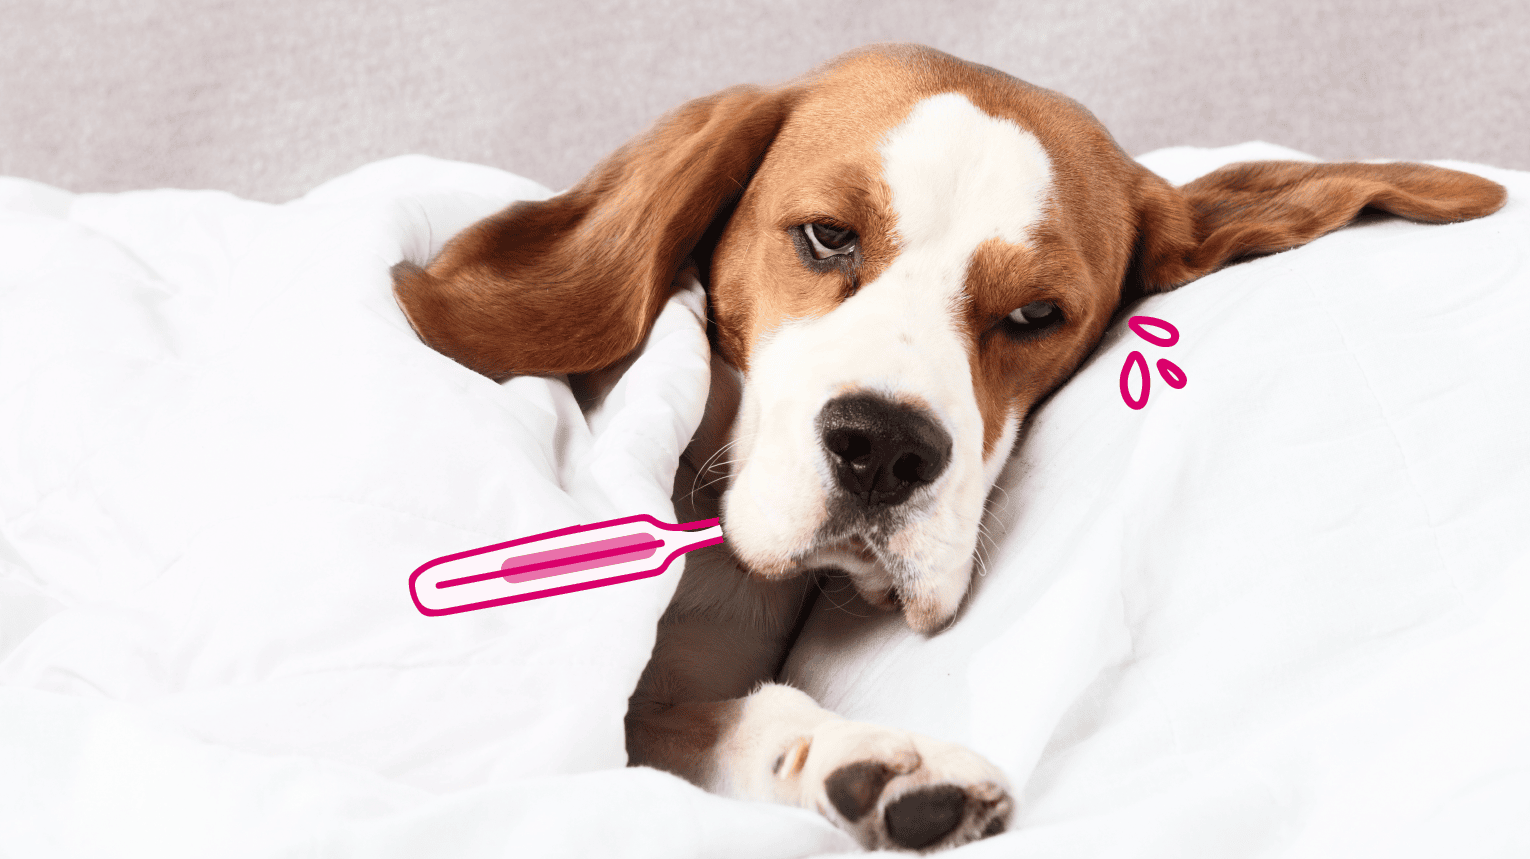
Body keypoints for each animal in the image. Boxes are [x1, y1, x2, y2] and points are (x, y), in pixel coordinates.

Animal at [394, 45, 1505, 851]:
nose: (882, 448)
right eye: (827, 236)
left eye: (1035, 313)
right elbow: (682, 723)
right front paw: (849, 757)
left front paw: (855, 765)